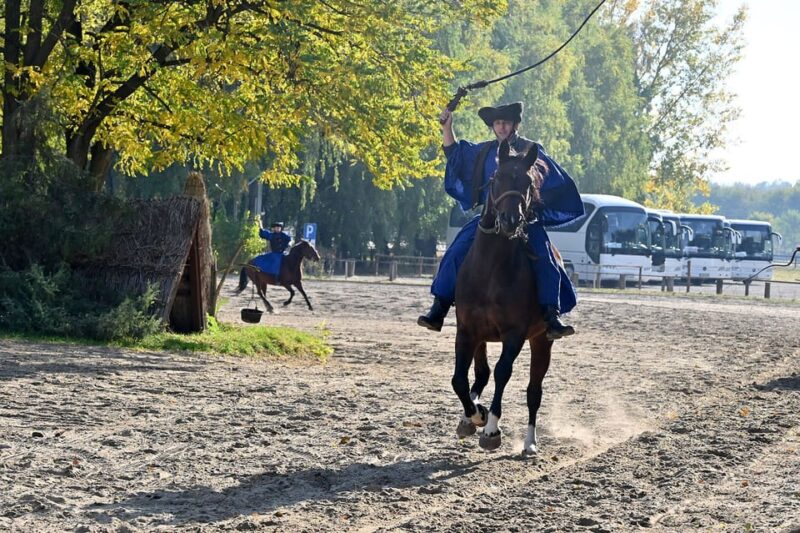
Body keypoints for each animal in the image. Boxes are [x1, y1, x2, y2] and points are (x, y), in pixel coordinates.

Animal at [451, 139, 553, 455]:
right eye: (496, 178)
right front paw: (474, 415)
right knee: (480, 374)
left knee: (533, 391)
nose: (510, 220)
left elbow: (502, 373)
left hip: (541, 340)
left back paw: (530, 443)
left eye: (528, 182)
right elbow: (460, 379)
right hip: (482, 337)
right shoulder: (467, 330)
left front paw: (492, 429)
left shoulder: (515, 334)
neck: (491, 269)